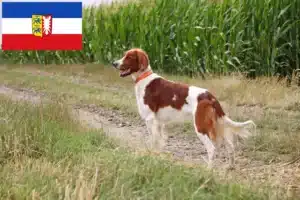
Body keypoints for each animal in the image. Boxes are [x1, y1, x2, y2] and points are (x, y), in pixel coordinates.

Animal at [112, 48, 255, 167]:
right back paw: (230, 167)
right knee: (230, 146)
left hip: (200, 126)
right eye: (124, 55)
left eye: (129, 57)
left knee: (212, 148)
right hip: (218, 124)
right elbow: (159, 141)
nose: (114, 63)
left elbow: (153, 140)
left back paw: (209, 170)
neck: (144, 78)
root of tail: (210, 96)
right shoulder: (158, 122)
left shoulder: (150, 119)